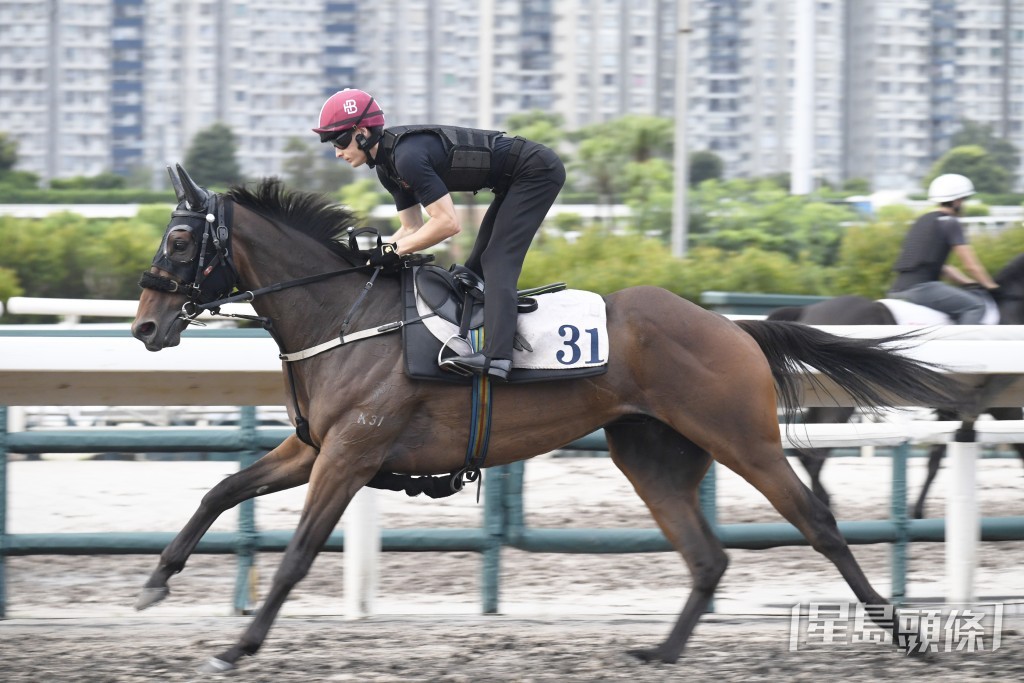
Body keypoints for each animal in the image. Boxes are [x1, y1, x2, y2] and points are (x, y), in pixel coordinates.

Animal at [131, 165, 962, 673]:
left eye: (180, 237)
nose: (144, 326)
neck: (346, 314)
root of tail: (733, 326)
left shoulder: (350, 456)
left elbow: (299, 554)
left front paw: (238, 645)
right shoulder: (316, 448)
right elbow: (220, 490)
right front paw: (156, 581)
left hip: (743, 438)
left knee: (818, 523)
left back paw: (906, 635)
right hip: (650, 452)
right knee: (707, 558)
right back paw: (662, 653)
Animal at [768, 258, 1024, 518]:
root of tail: (805, 311)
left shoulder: (954, 410)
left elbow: (934, 460)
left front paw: (917, 510)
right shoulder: (1000, 406)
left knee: (805, 452)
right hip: (841, 402)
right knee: (812, 456)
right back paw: (823, 503)